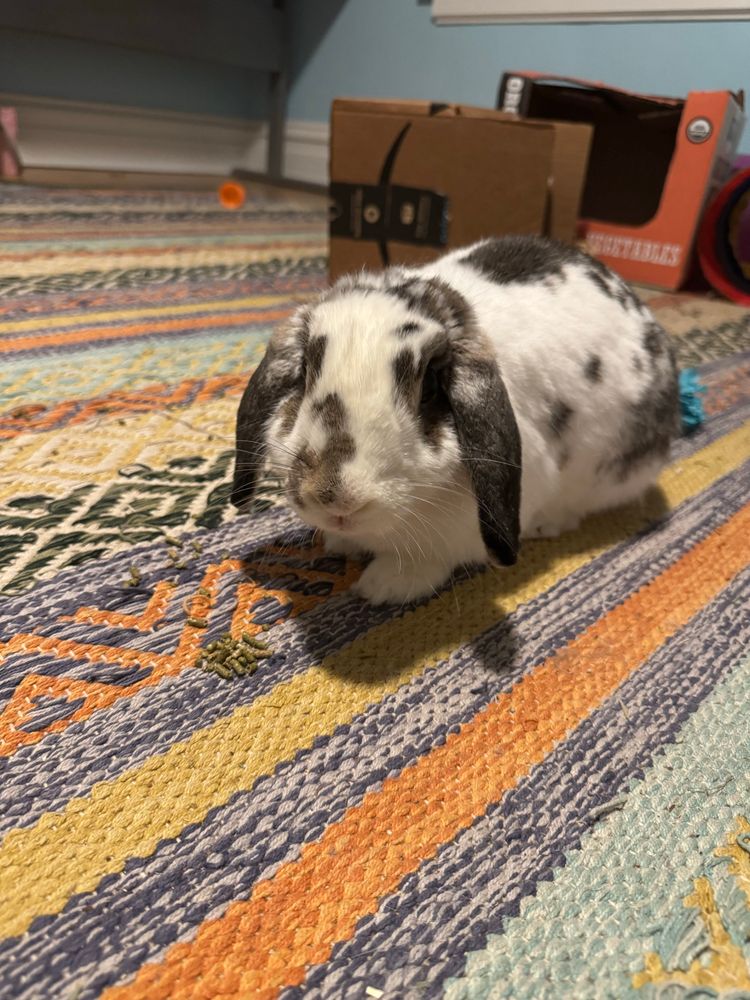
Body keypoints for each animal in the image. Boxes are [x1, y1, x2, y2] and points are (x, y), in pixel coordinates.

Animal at [231, 235, 679, 605]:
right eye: (306, 371)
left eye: (431, 386)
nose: (335, 499)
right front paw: (341, 546)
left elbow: (431, 559)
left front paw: (382, 587)